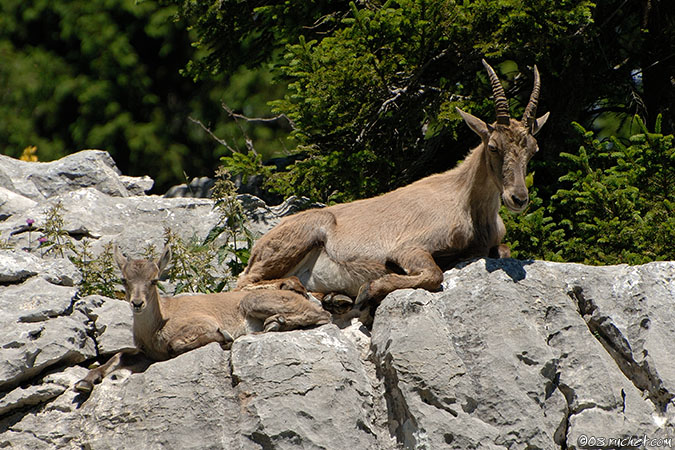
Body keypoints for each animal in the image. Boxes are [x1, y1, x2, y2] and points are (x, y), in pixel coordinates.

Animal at [74, 245, 331, 393]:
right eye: (124, 280)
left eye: (154, 280)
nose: (137, 303)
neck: (157, 325)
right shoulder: (146, 353)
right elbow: (118, 356)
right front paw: (85, 382)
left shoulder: (201, 322)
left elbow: (177, 344)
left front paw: (224, 338)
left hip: (254, 301)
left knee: (323, 316)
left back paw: (274, 324)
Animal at [236, 60, 549, 312]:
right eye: (494, 146)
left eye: (533, 149)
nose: (518, 198)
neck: (465, 203)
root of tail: (256, 249)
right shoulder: (409, 247)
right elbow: (433, 275)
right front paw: (369, 290)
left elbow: (504, 251)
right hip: (305, 233)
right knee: (244, 281)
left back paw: (335, 298)